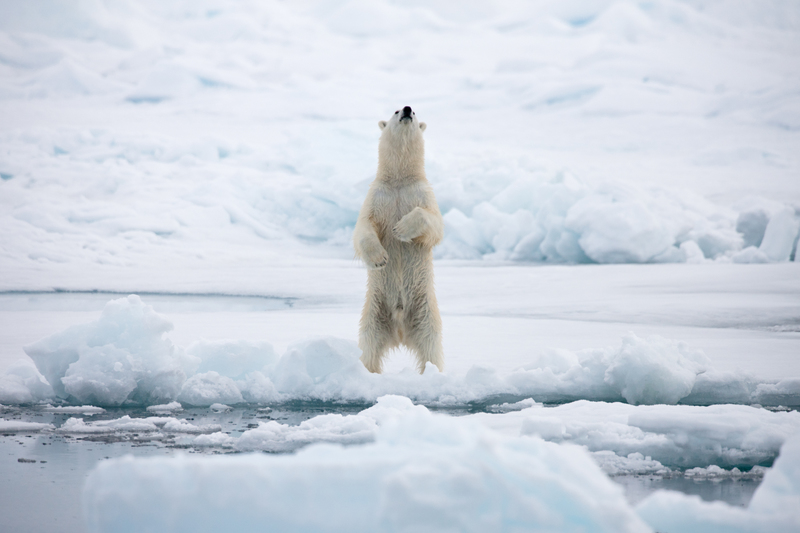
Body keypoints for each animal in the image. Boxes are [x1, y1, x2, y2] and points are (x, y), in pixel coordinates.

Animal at [354, 107, 446, 374]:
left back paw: (433, 372)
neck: (399, 181)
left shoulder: (422, 193)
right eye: (395, 111)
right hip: (373, 313)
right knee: (369, 347)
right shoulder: (376, 196)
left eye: (415, 111)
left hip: (426, 310)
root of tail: (401, 331)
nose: (406, 109)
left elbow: (433, 223)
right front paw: (380, 259)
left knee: (431, 347)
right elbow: (363, 227)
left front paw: (401, 228)